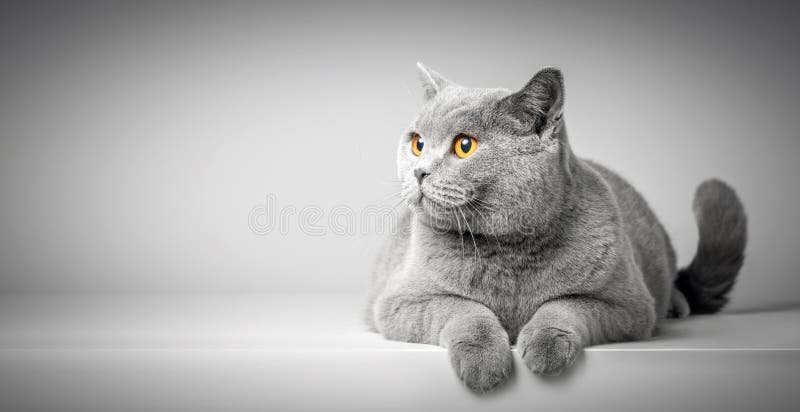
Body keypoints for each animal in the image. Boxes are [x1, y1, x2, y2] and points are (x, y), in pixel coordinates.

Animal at [366, 63, 748, 392]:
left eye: (464, 146)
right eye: (417, 143)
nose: (419, 172)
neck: (509, 251)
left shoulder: (628, 307)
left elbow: (564, 305)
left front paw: (545, 348)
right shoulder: (400, 302)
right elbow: (464, 309)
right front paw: (484, 363)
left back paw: (675, 304)